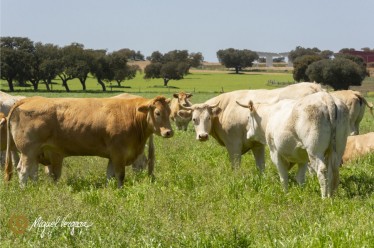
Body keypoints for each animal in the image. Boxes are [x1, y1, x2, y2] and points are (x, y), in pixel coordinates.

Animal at [5, 95, 172, 186]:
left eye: (170, 112)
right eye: (157, 113)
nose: (169, 132)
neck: (131, 115)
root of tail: (28, 100)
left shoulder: (113, 155)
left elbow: (110, 176)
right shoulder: (119, 153)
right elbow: (120, 175)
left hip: (35, 152)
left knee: (32, 172)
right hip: (28, 151)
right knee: (24, 171)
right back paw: (25, 190)